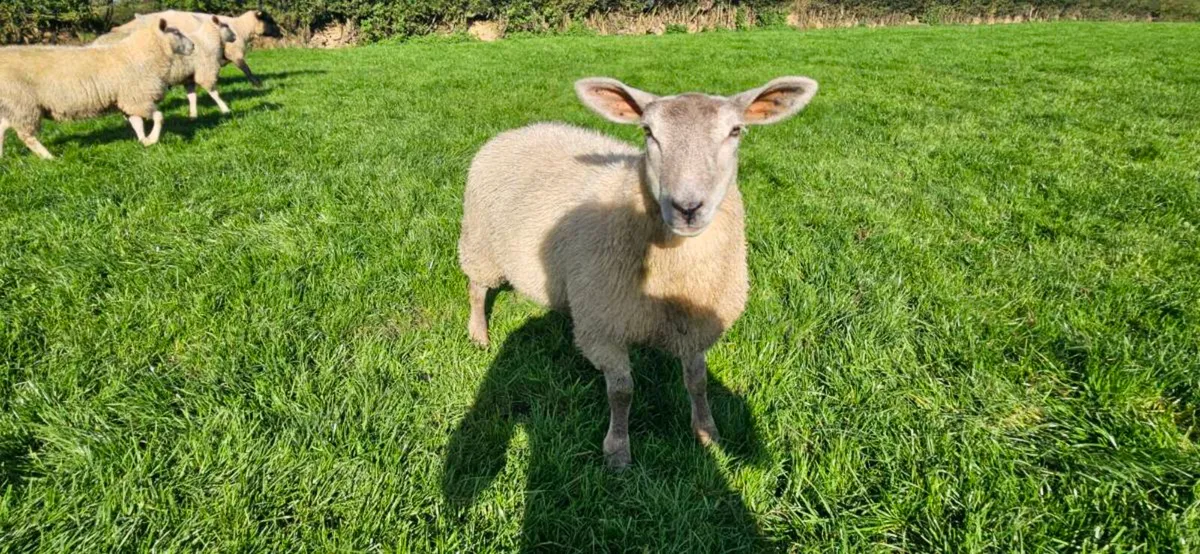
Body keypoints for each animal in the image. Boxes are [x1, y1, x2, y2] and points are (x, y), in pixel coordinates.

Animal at [0, 19, 194, 160]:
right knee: (26, 136)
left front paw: (144, 141)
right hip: (23, 104)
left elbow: (136, 123)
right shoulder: (138, 98)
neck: (138, 54)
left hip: (13, 105)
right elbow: (159, 116)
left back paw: (2, 157)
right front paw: (152, 139)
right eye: (176, 32)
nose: (193, 46)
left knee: (2, 127)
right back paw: (49, 157)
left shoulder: (128, 100)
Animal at [98, 12, 238, 118]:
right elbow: (214, 94)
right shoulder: (205, 71)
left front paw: (193, 115)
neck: (206, 41)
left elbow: (192, 97)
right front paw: (225, 109)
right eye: (225, 25)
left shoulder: (188, 78)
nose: (235, 36)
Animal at [459, 76, 818, 469]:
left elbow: (698, 381)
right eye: (648, 131)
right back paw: (479, 334)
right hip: (480, 243)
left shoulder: (694, 325)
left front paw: (707, 432)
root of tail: (519, 129)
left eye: (735, 131)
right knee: (477, 288)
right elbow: (622, 392)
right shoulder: (606, 327)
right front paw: (617, 451)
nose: (687, 208)